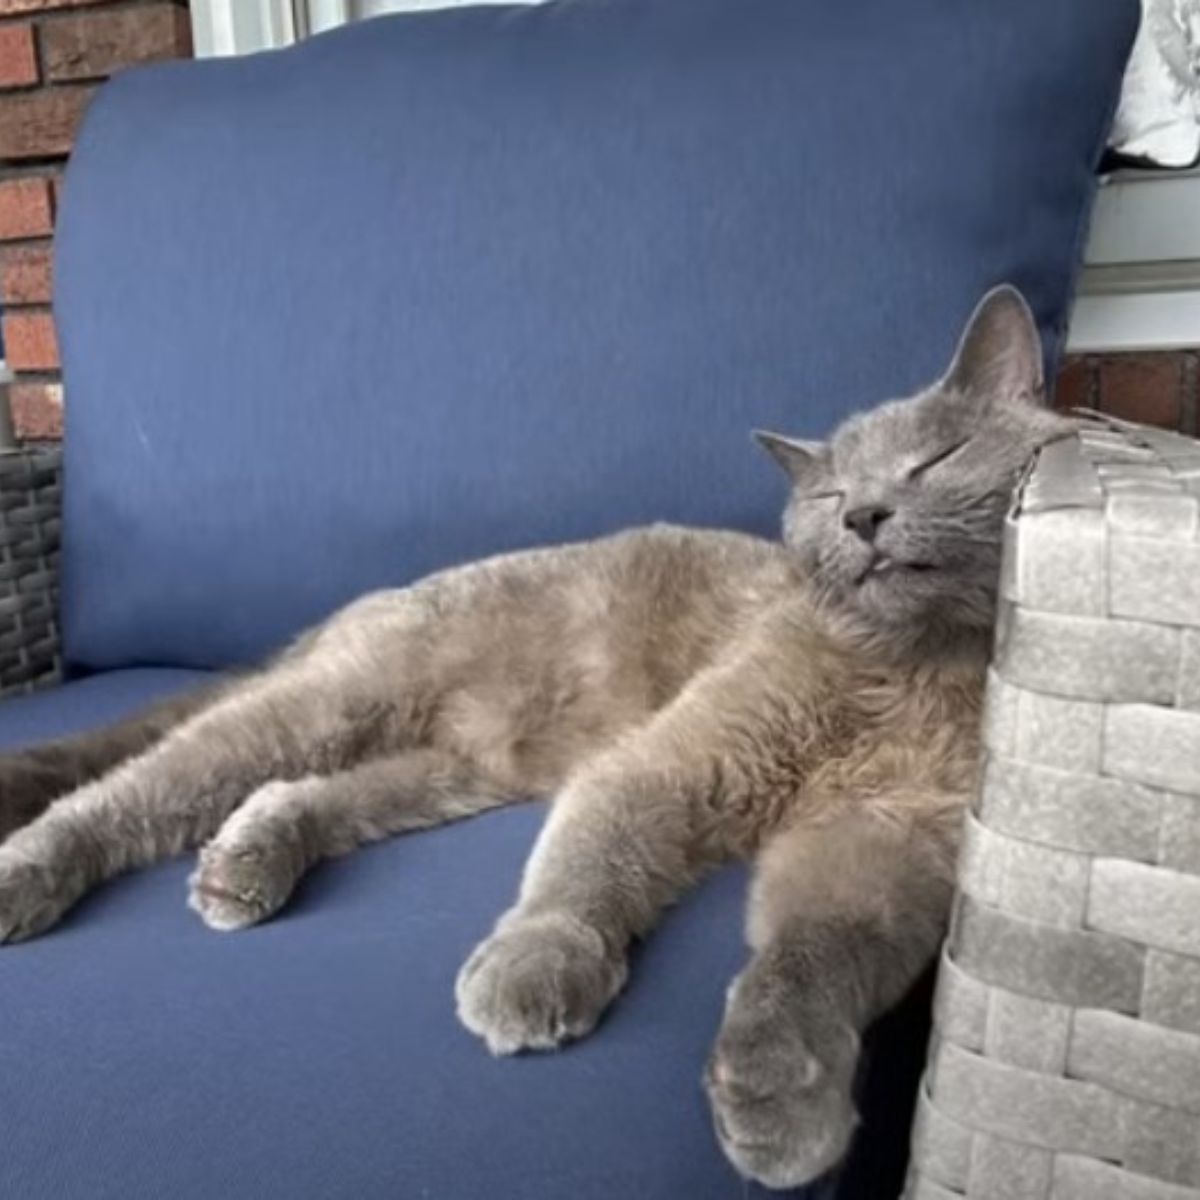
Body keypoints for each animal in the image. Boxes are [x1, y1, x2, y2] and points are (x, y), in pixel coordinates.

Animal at [0, 283, 1070, 1190]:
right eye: (826, 494)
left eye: (933, 461)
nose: (864, 514)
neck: (918, 674)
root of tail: (361, 605)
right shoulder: (676, 762)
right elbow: (592, 866)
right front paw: (535, 970)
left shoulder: (882, 846)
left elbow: (818, 951)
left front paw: (776, 1097)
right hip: (333, 702)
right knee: (134, 788)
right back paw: (31, 873)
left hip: (449, 772)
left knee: (295, 793)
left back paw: (246, 862)